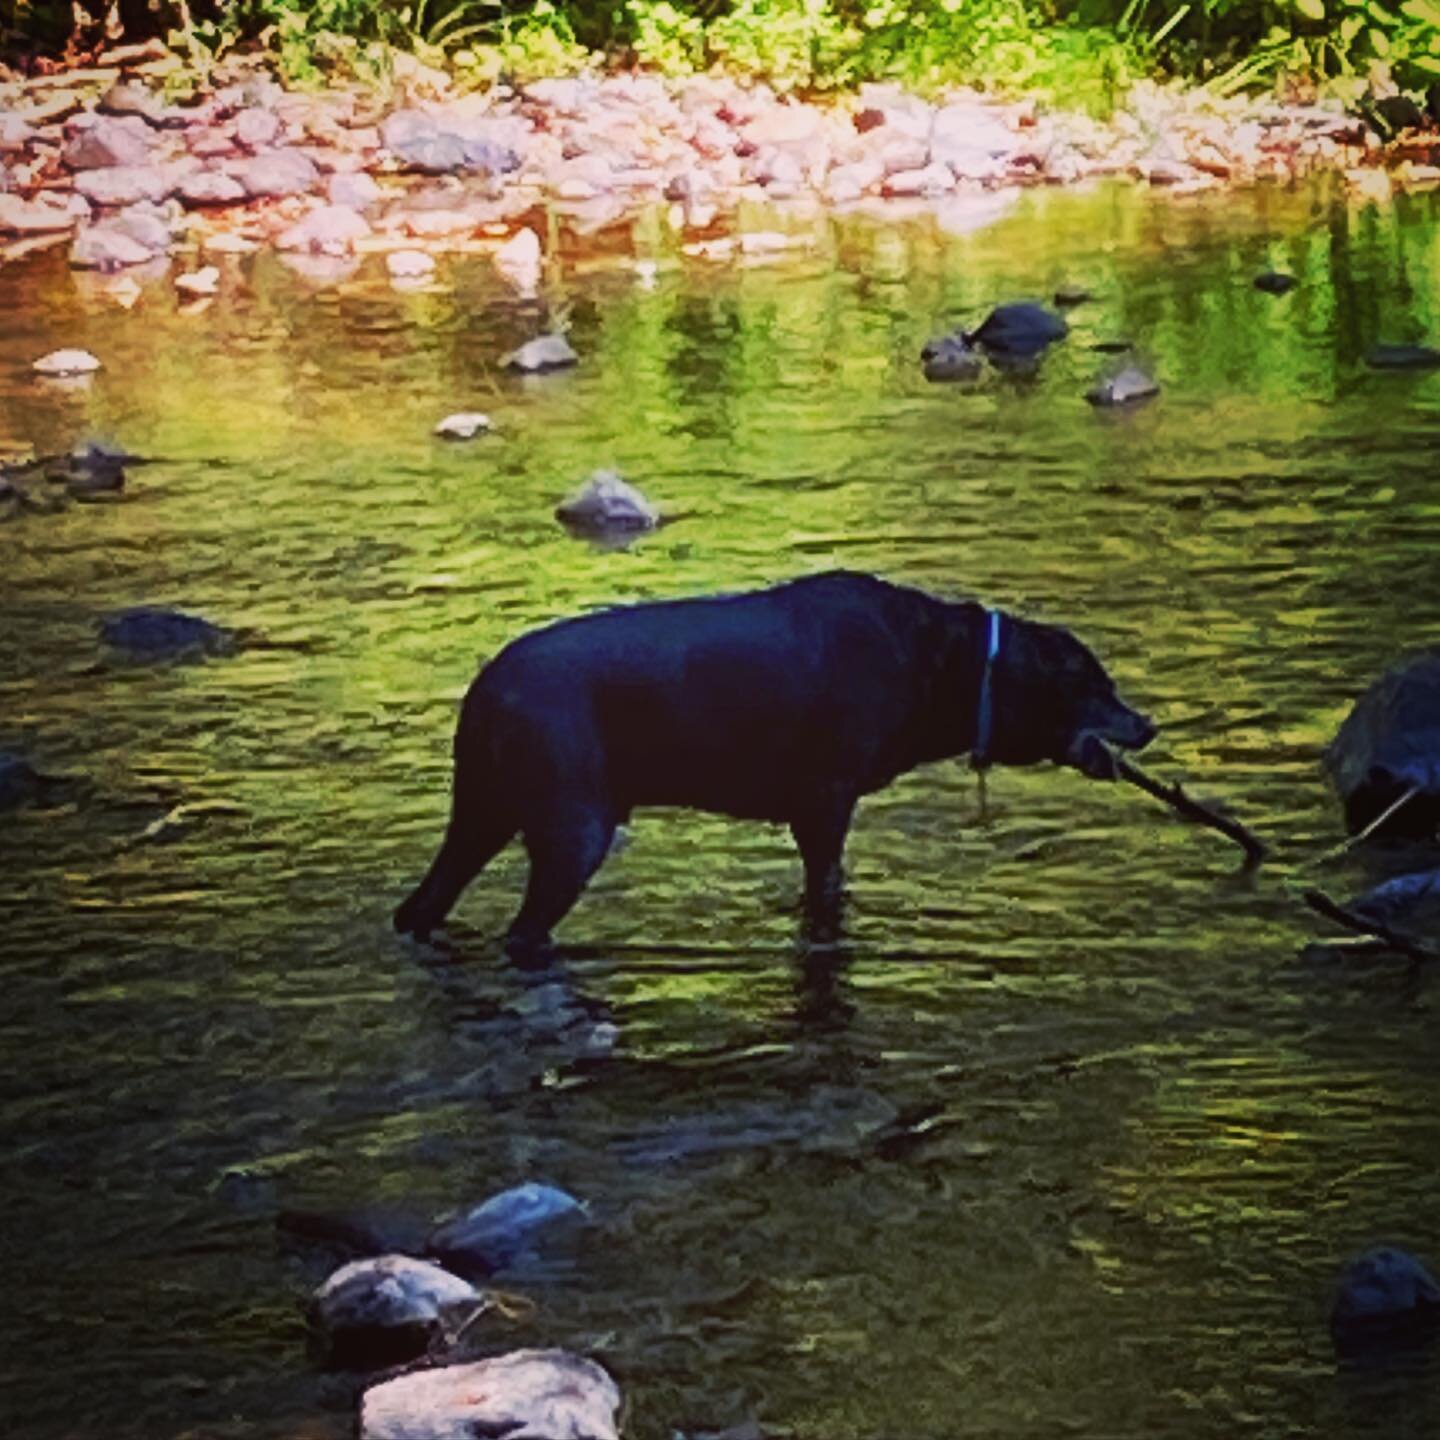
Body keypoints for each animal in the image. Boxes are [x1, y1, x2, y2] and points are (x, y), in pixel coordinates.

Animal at [391, 567, 1146, 950]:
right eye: (1098, 684)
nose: (1150, 724)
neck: (948, 665)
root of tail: (486, 689)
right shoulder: (825, 801)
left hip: (482, 813)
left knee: (419, 906)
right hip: (570, 828)